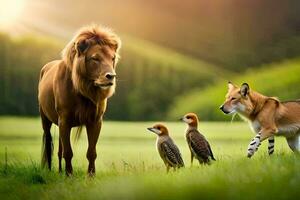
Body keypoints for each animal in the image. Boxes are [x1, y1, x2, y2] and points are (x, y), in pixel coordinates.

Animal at [37, 24, 120, 176]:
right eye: (95, 58)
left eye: (112, 58)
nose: (111, 76)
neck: (84, 89)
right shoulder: (64, 120)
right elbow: (68, 152)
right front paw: (69, 175)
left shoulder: (95, 120)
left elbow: (91, 152)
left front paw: (91, 175)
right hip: (45, 118)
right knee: (48, 142)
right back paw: (50, 170)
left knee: (59, 149)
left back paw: (59, 171)